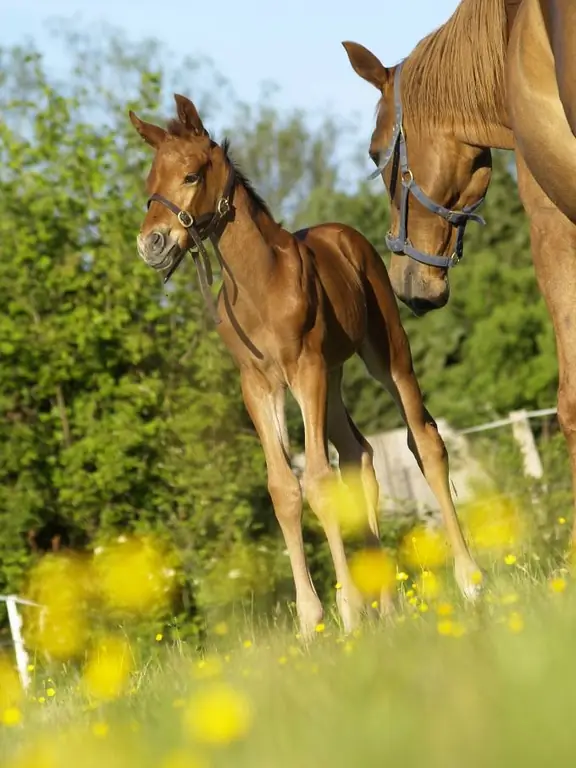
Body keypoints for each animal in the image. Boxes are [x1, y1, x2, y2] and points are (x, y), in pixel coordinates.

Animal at [130, 96, 482, 636]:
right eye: (151, 180)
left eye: (190, 175)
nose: (152, 244)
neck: (260, 284)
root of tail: (347, 236)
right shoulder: (259, 385)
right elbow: (283, 489)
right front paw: (312, 619)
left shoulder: (305, 370)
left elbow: (317, 479)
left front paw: (349, 610)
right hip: (333, 379)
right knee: (358, 454)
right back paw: (388, 605)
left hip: (383, 353)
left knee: (423, 440)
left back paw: (467, 580)